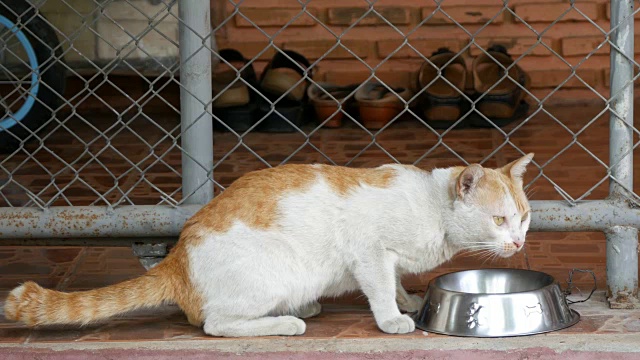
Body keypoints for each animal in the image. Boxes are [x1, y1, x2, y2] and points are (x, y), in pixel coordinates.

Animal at [3, 154, 536, 338]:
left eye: (525, 217)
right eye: (500, 219)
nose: (518, 241)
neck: (431, 206)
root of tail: (177, 260)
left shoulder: (388, 260)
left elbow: (397, 281)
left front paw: (408, 299)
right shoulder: (370, 252)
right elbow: (381, 288)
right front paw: (392, 318)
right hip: (274, 272)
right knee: (215, 324)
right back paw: (288, 321)